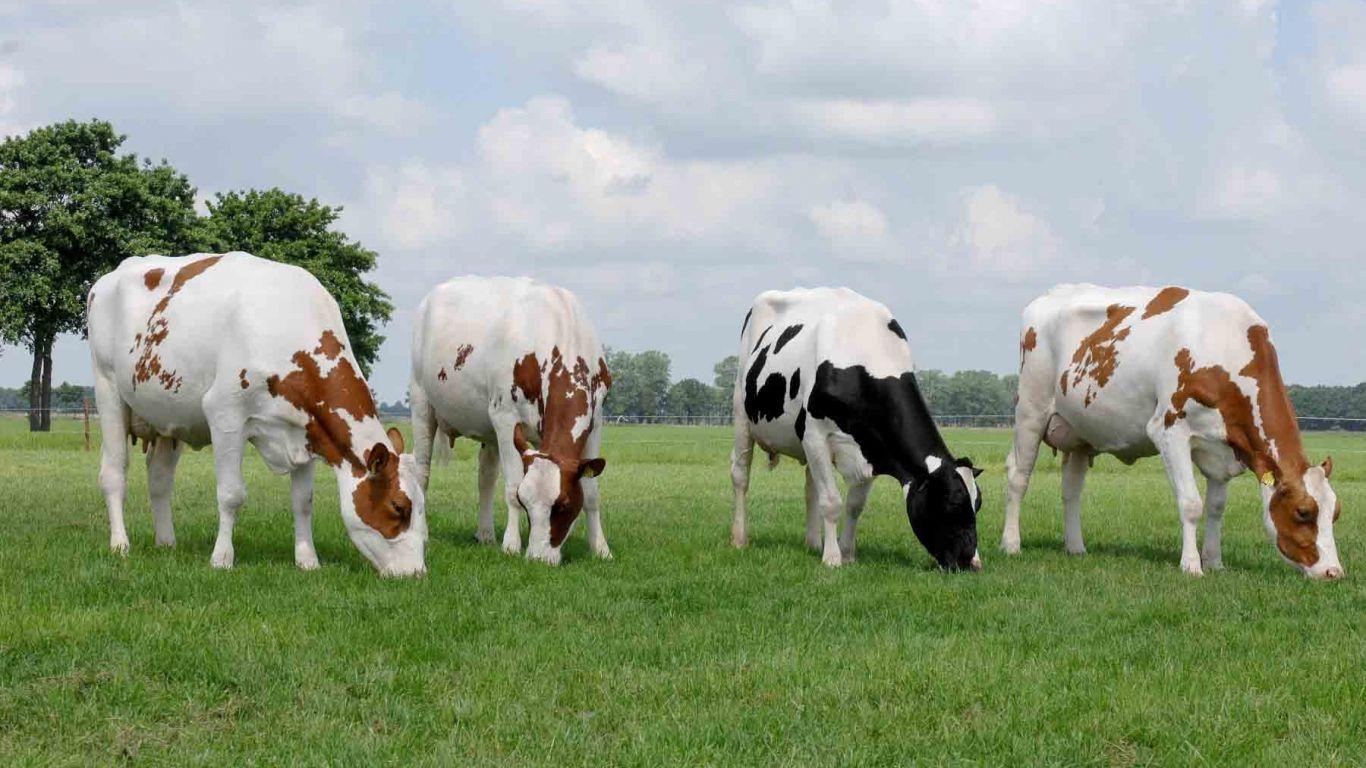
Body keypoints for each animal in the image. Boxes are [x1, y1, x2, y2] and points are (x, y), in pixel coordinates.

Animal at [87, 252, 426, 576]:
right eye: (399, 507)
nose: (416, 573)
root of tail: (112, 274)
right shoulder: (225, 414)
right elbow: (231, 494)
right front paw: (221, 559)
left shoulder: (306, 429)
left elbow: (303, 501)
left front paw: (307, 560)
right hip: (108, 389)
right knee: (113, 474)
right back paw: (120, 544)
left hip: (167, 415)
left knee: (159, 478)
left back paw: (166, 541)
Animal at [408, 276, 612, 566]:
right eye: (526, 503)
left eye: (563, 505)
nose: (537, 558)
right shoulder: (505, 418)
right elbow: (512, 486)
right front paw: (512, 545)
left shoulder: (596, 420)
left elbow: (592, 491)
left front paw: (600, 549)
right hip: (421, 401)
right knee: (422, 472)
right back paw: (423, 533)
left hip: (488, 429)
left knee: (485, 477)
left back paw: (485, 534)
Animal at [730, 287, 983, 570]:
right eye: (952, 503)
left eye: (978, 504)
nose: (972, 562)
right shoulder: (815, 437)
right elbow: (831, 501)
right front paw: (832, 559)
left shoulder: (873, 445)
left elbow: (854, 505)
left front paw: (847, 553)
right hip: (741, 413)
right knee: (740, 476)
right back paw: (740, 539)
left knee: (811, 488)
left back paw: (813, 543)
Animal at [1003, 284, 1343, 579]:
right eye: (1303, 512)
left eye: (1336, 513)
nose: (1333, 572)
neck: (1224, 342)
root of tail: (1051, 294)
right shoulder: (1169, 430)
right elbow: (1191, 504)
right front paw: (1192, 565)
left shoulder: (1223, 448)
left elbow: (1216, 508)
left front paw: (1214, 561)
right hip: (1031, 410)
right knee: (1019, 476)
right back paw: (1011, 544)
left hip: (1080, 430)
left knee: (1071, 489)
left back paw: (1075, 547)